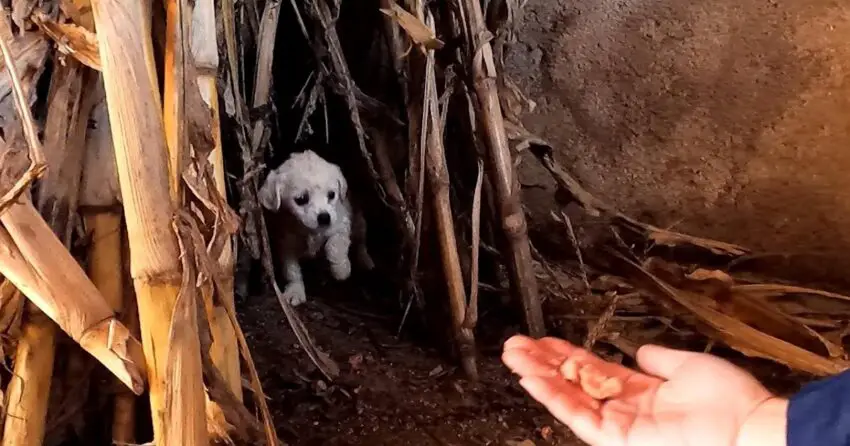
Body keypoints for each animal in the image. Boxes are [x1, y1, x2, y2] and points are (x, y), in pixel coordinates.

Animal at [256, 150, 372, 306]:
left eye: (331, 195)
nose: (324, 217)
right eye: (301, 199)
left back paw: (365, 260)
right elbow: (292, 271)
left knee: (361, 242)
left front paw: (341, 269)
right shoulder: (286, 245)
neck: (309, 230)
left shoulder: (340, 225)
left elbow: (334, 246)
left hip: (359, 223)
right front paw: (295, 291)